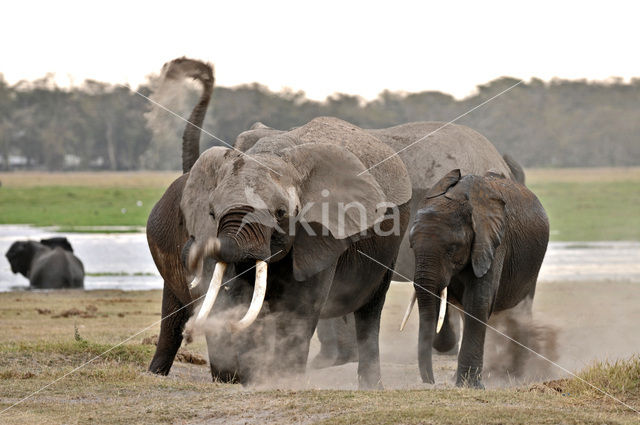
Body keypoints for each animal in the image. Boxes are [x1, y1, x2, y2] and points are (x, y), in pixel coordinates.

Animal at [408, 169, 548, 388]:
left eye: (452, 249)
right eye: (411, 246)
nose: (431, 382)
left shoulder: (494, 243)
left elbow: (478, 301)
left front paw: (470, 386)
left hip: (532, 266)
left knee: (520, 310)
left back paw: (515, 375)